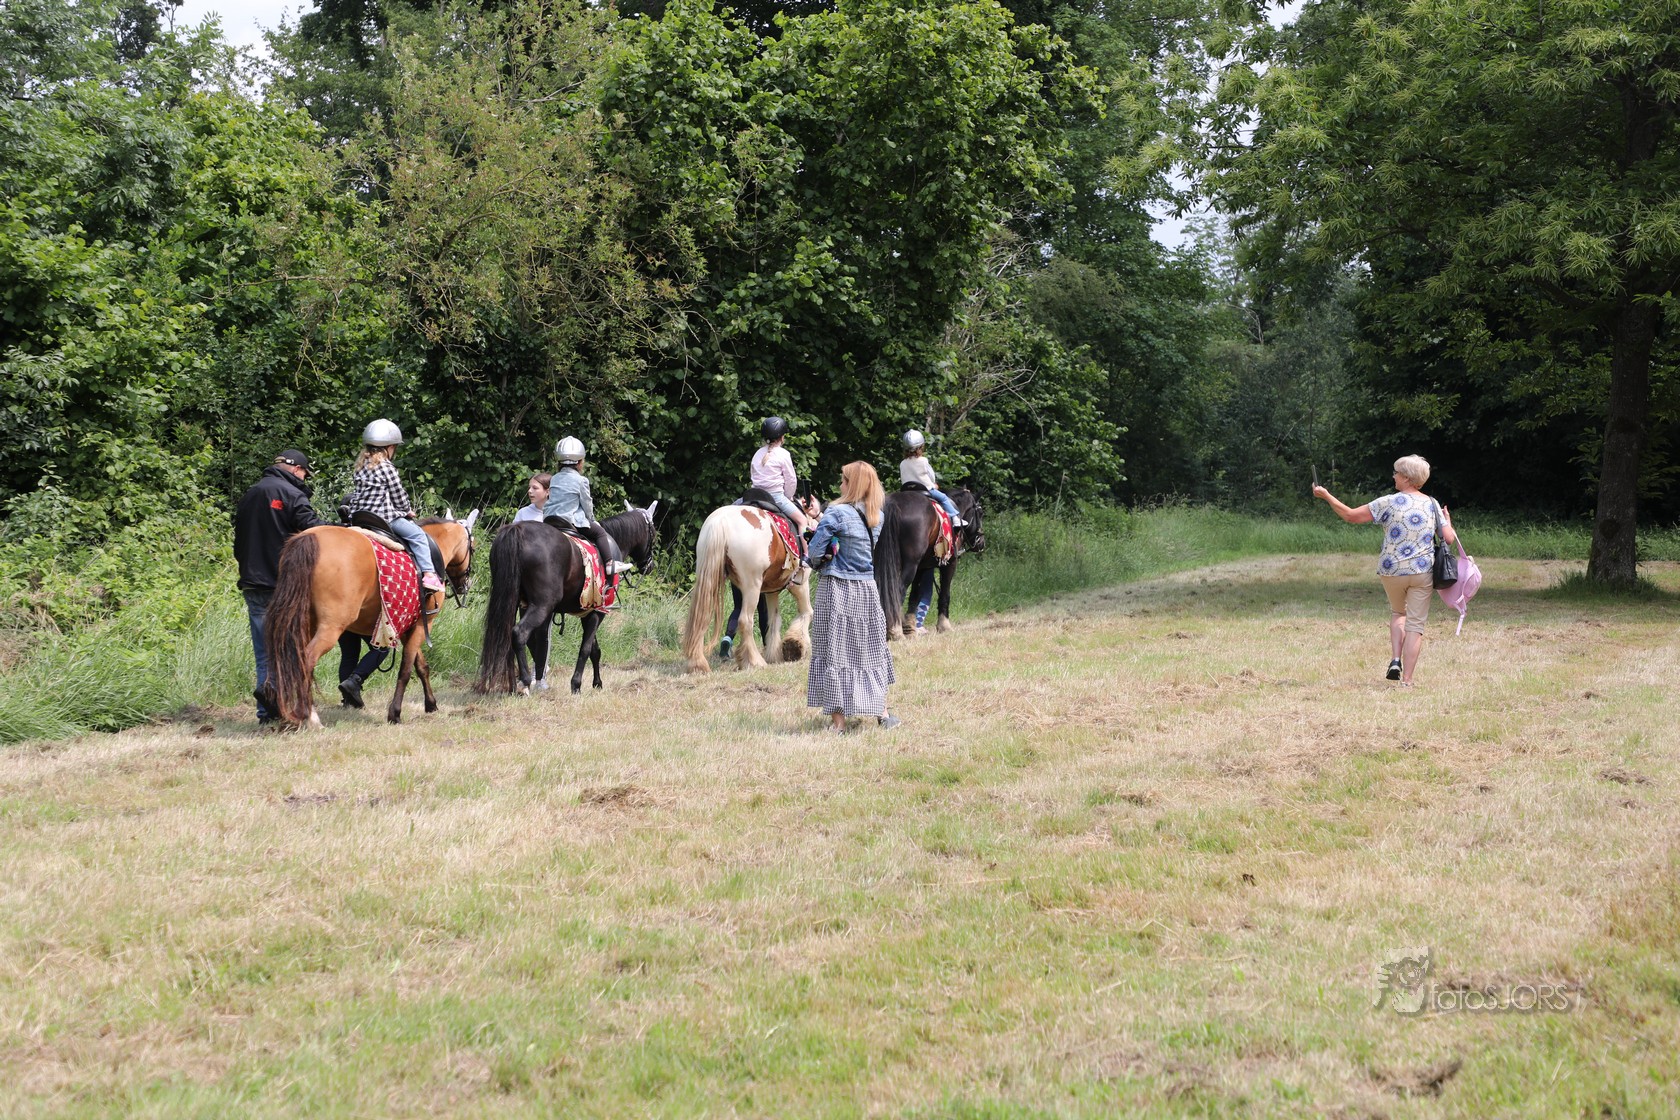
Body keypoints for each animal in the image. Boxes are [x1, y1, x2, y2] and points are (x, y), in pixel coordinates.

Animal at [266, 510, 480, 726]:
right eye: (473, 547)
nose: (466, 584)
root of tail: (309, 538)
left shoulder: (407, 626)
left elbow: (421, 666)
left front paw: (431, 704)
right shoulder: (423, 623)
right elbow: (405, 670)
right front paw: (395, 713)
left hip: (303, 623)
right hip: (330, 628)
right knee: (306, 660)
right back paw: (310, 716)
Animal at [476, 503, 658, 695]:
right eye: (653, 533)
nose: (649, 565)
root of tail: (518, 530)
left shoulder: (588, 612)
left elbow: (594, 650)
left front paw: (597, 682)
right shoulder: (598, 612)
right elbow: (586, 648)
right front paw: (576, 684)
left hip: (518, 604)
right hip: (541, 606)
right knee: (520, 633)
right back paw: (525, 681)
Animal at [681, 498, 820, 673]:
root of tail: (721, 521)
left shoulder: (771, 590)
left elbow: (773, 619)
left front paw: (774, 654)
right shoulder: (800, 583)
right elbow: (807, 612)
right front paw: (795, 645)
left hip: (707, 578)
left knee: (701, 618)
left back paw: (697, 663)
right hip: (752, 586)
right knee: (745, 621)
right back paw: (754, 661)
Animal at [873, 486, 985, 639]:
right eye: (980, 513)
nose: (981, 543)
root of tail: (894, 503)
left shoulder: (922, 567)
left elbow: (915, 594)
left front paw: (910, 627)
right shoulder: (950, 563)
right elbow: (945, 593)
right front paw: (944, 625)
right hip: (910, 565)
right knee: (898, 590)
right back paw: (895, 630)